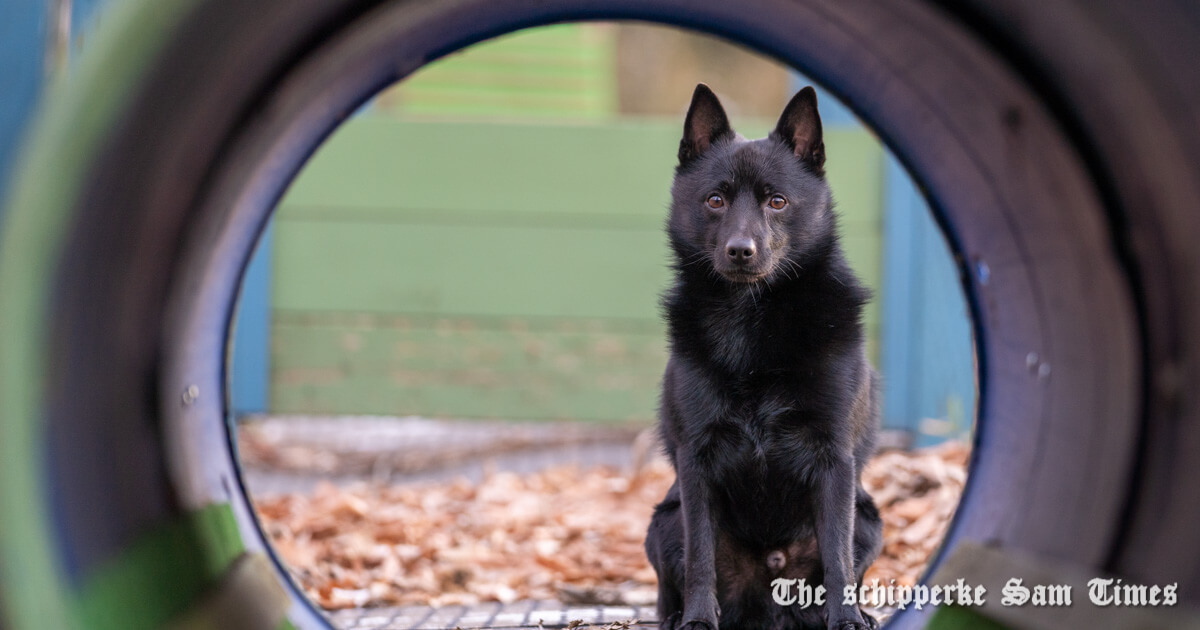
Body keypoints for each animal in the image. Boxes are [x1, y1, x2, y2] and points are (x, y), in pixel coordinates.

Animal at [648, 84, 883, 628]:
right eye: (715, 200)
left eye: (777, 201)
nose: (741, 250)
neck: (750, 322)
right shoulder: (696, 463)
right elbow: (701, 557)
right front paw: (697, 618)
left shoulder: (834, 462)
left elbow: (838, 557)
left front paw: (846, 618)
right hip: (664, 521)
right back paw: (675, 616)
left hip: (868, 518)